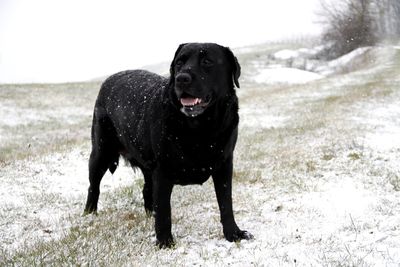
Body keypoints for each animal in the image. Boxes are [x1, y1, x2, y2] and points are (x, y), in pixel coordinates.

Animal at [84, 42, 253, 249]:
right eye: (180, 62)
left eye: (207, 61)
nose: (182, 79)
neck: (200, 128)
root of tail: (110, 78)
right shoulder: (163, 171)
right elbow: (165, 210)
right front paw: (165, 242)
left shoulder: (224, 164)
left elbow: (226, 203)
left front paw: (233, 233)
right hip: (100, 151)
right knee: (94, 186)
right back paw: (89, 214)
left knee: (146, 190)